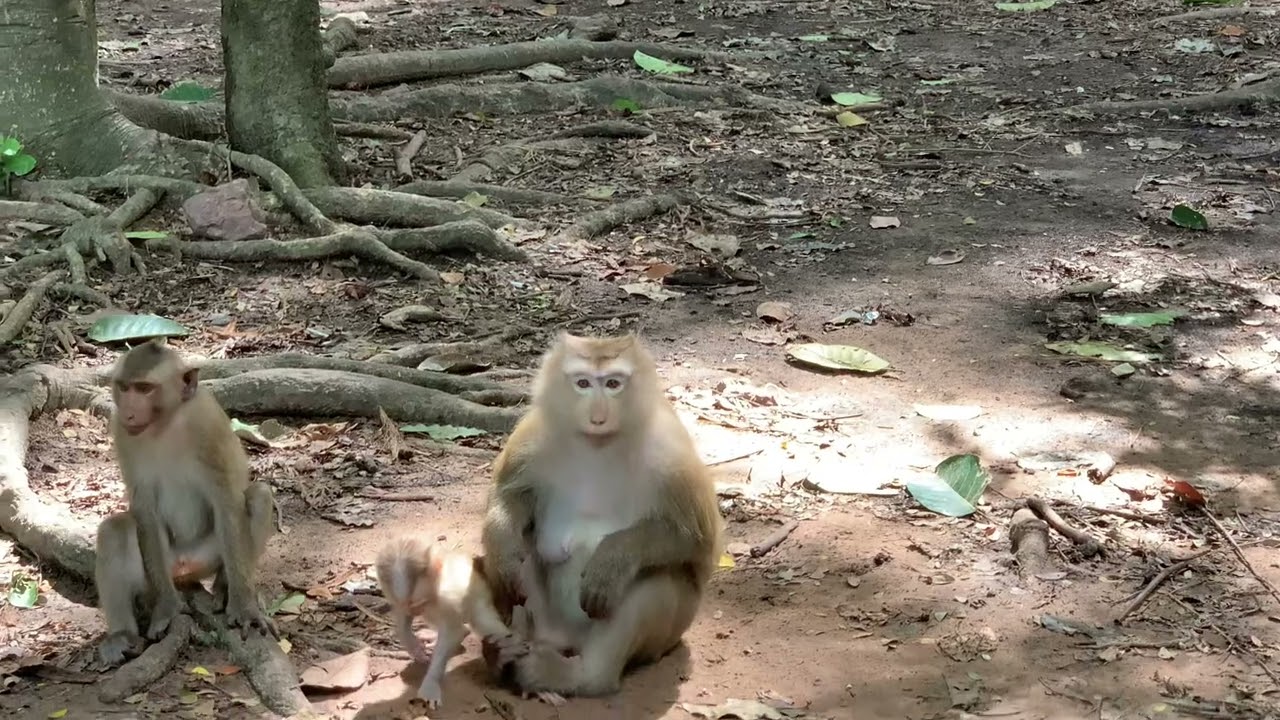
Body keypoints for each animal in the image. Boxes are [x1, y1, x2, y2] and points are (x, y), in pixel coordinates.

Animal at [94, 339, 279, 666]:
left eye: (144, 388)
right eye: (124, 387)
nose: (128, 412)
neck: (165, 423)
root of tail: (184, 567)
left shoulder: (208, 423)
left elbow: (226, 501)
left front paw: (245, 609)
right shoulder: (121, 432)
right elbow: (144, 509)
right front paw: (167, 609)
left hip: (207, 556)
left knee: (258, 496)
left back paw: (224, 589)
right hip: (158, 570)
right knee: (114, 531)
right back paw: (121, 637)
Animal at [374, 535, 512, 708]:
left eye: (420, 603)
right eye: (410, 606)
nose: (415, 611)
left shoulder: (446, 597)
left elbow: (453, 632)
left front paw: (431, 683)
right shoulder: (398, 600)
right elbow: (402, 621)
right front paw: (414, 647)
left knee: (482, 625)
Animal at [479, 331, 724, 698]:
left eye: (612, 383)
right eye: (582, 383)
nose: (598, 416)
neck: (598, 445)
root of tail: (566, 640)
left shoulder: (673, 458)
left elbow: (697, 541)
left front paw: (611, 558)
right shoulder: (531, 437)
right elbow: (508, 498)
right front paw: (505, 556)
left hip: (668, 634)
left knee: (650, 580)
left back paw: (579, 677)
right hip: (549, 624)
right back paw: (502, 651)